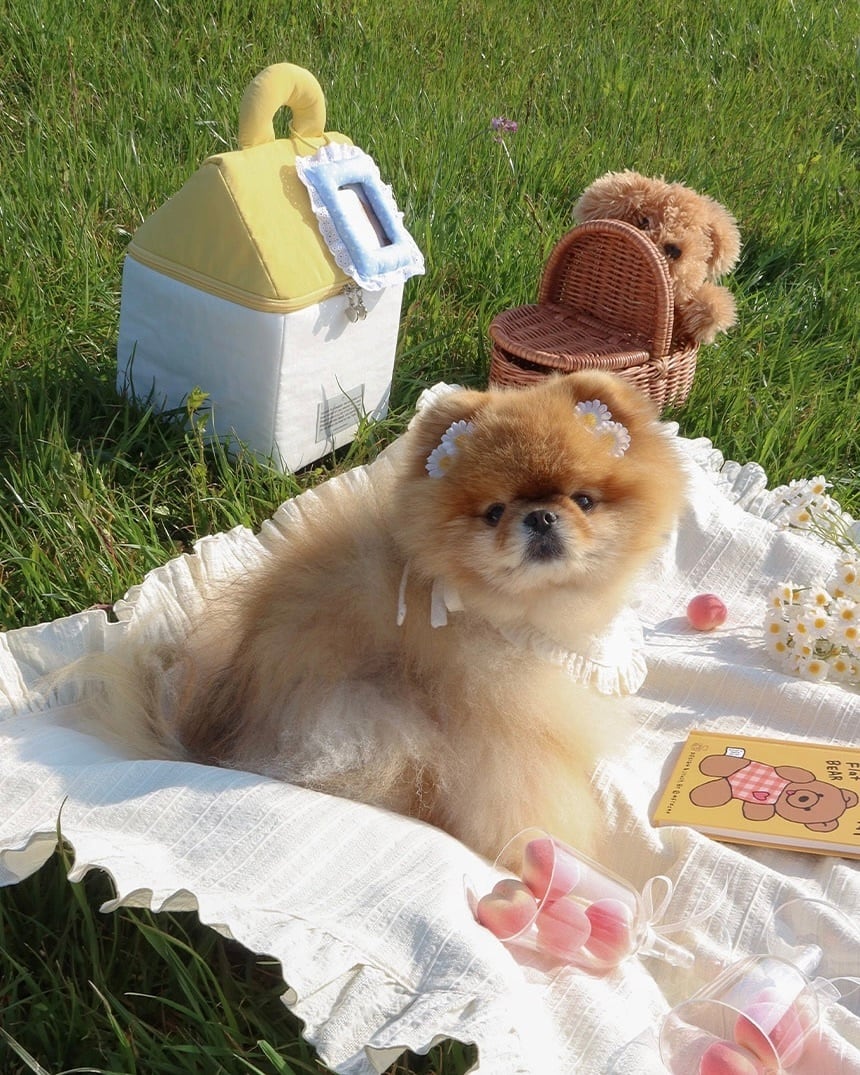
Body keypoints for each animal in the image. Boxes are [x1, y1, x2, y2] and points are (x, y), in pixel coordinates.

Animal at [88, 372, 685, 860]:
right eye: (493, 513)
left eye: (583, 500)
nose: (539, 517)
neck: (510, 613)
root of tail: (216, 734)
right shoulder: (494, 720)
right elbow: (520, 787)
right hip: (358, 721)